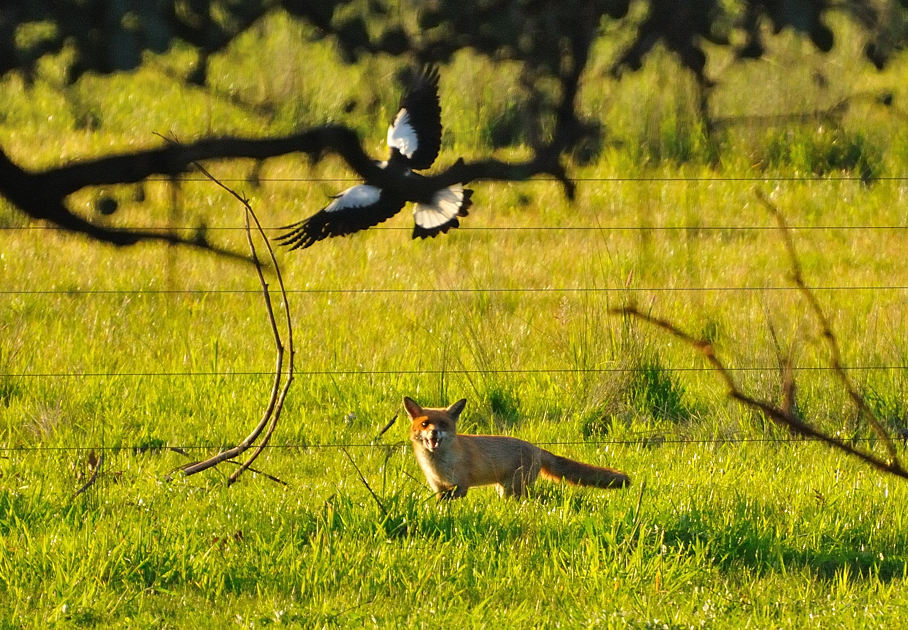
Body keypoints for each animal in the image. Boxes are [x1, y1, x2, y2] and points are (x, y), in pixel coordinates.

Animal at [406, 398, 632, 502]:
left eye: (443, 424)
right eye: (425, 424)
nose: (434, 433)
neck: (438, 466)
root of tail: (536, 447)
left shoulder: (461, 485)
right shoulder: (438, 487)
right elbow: (441, 503)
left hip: (514, 488)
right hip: (504, 488)